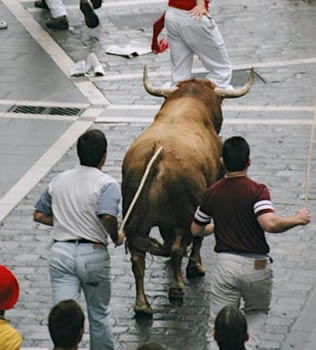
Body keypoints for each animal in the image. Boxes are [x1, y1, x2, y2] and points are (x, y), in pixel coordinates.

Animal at [121, 65, 254, 318]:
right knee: (175, 248)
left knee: (138, 257)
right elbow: (197, 239)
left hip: (136, 217)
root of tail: (158, 152)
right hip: (185, 214)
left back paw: (142, 305)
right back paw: (177, 287)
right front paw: (195, 266)